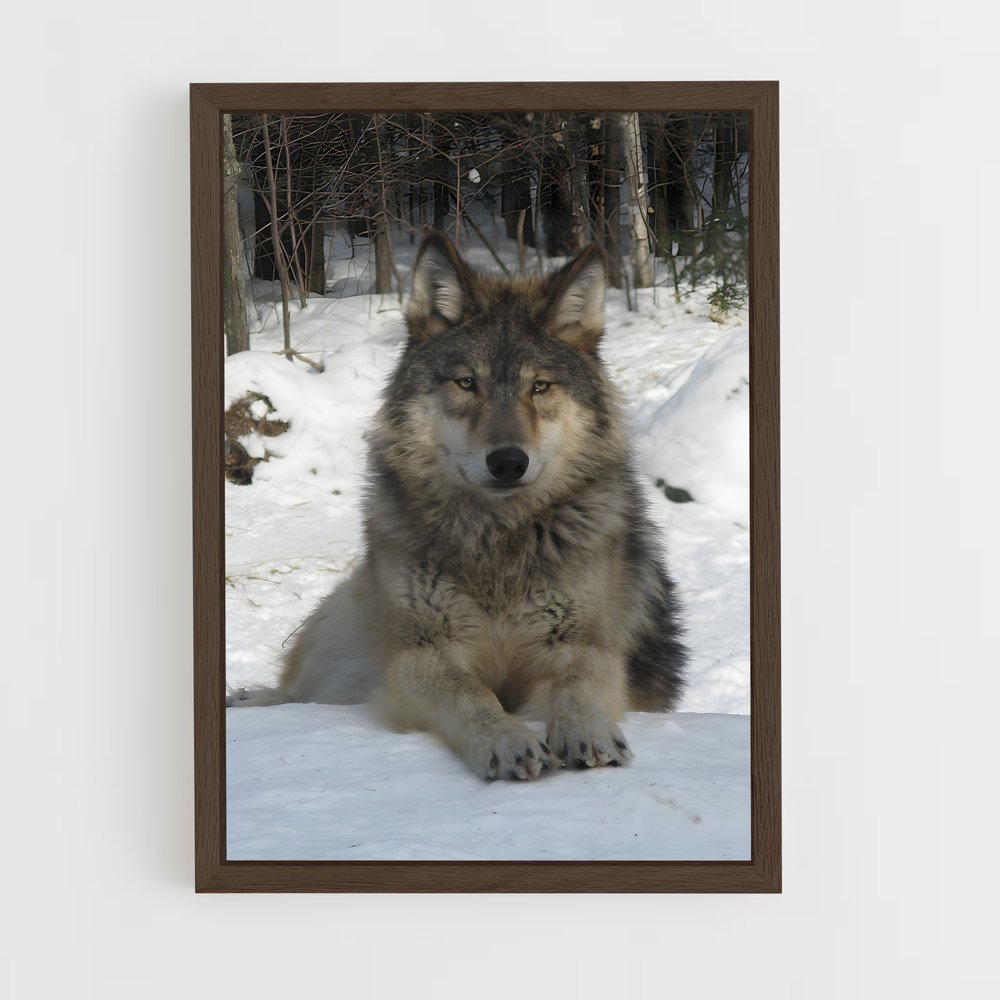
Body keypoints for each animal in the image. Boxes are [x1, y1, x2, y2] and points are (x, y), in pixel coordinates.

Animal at [234, 230, 686, 780]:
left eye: (539, 386)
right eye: (468, 383)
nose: (509, 462)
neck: (498, 542)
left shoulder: (586, 646)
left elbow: (577, 686)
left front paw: (588, 731)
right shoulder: (421, 655)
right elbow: (471, 694)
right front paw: (506, 741)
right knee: (301, 694)